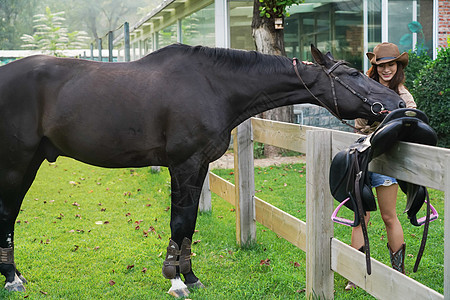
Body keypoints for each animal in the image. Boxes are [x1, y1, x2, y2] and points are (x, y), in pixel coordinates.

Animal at [0, 44, 404, 296]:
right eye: (353, 73)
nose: (396, 103)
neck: (213, 87)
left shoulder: (199, 167)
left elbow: (189, 223)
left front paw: (190, 276)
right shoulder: (184, 164)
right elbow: (179, 221)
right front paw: (175, 280)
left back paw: (16, 274)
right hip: (17, 163)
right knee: (7, 214)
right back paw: (12, 280)